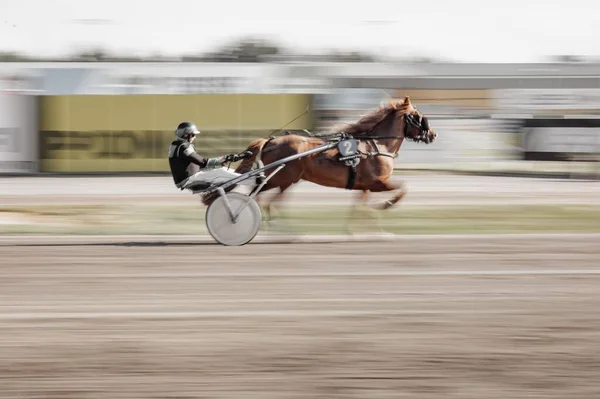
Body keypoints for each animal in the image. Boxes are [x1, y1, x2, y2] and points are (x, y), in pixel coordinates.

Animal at [200, 95, 436, 230]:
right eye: (418, 116)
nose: (432, 134)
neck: (377, 146)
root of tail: (271, 140)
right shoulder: (378, 183)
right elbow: (404, 187)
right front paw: (386, 205)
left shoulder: (364, 186)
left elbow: (360, 207)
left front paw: (363, 230)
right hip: (282, 178)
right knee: (265, 201)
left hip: (284, 180)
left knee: (265, 200)